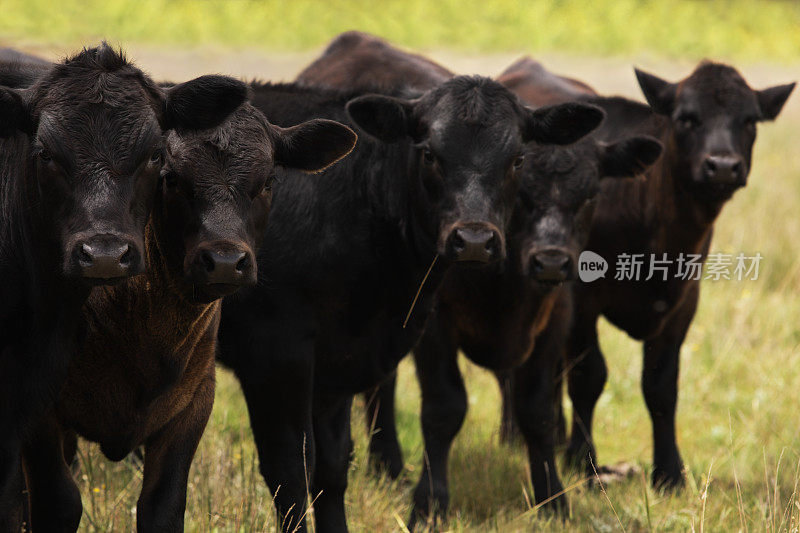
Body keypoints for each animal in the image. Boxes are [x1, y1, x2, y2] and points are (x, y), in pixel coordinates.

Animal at [216, 72, 604, 528]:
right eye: (430, 154)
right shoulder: (274, 354)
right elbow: (290, 472)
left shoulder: (340, 362)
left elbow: (332, 466)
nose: (475, 239)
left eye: (517, 160)